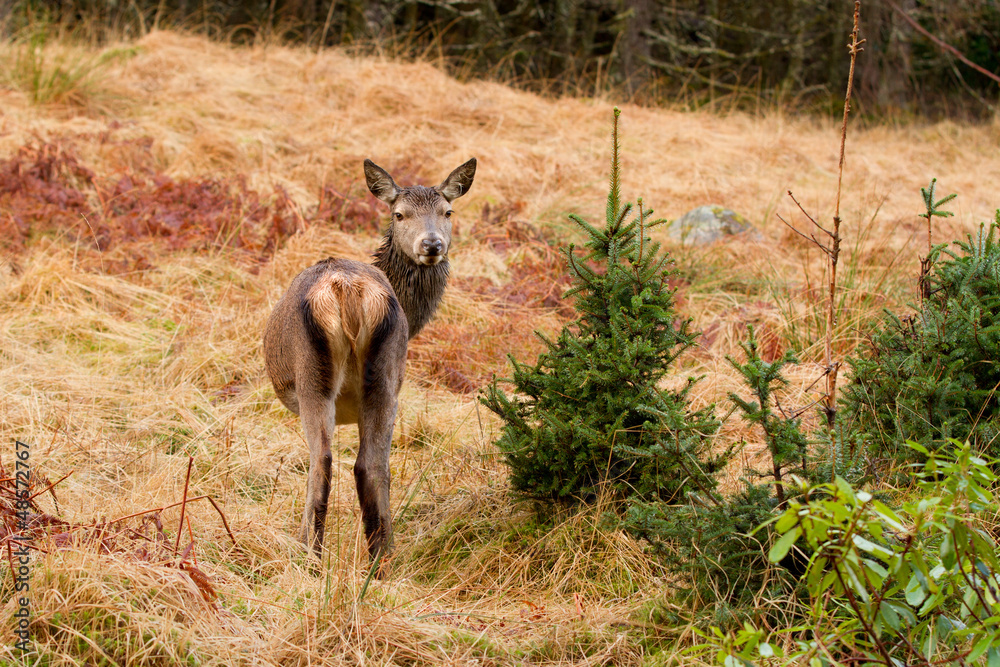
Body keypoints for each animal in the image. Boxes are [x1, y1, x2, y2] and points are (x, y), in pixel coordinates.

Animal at [263, 158, 476, 572]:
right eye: (399, 213)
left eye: (448, 211)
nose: (432, 245)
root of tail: (346, 291)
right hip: (381, 373)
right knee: (364, 464)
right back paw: (377, 557)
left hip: (316, 376)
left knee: (333, 462)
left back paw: (318, 555)